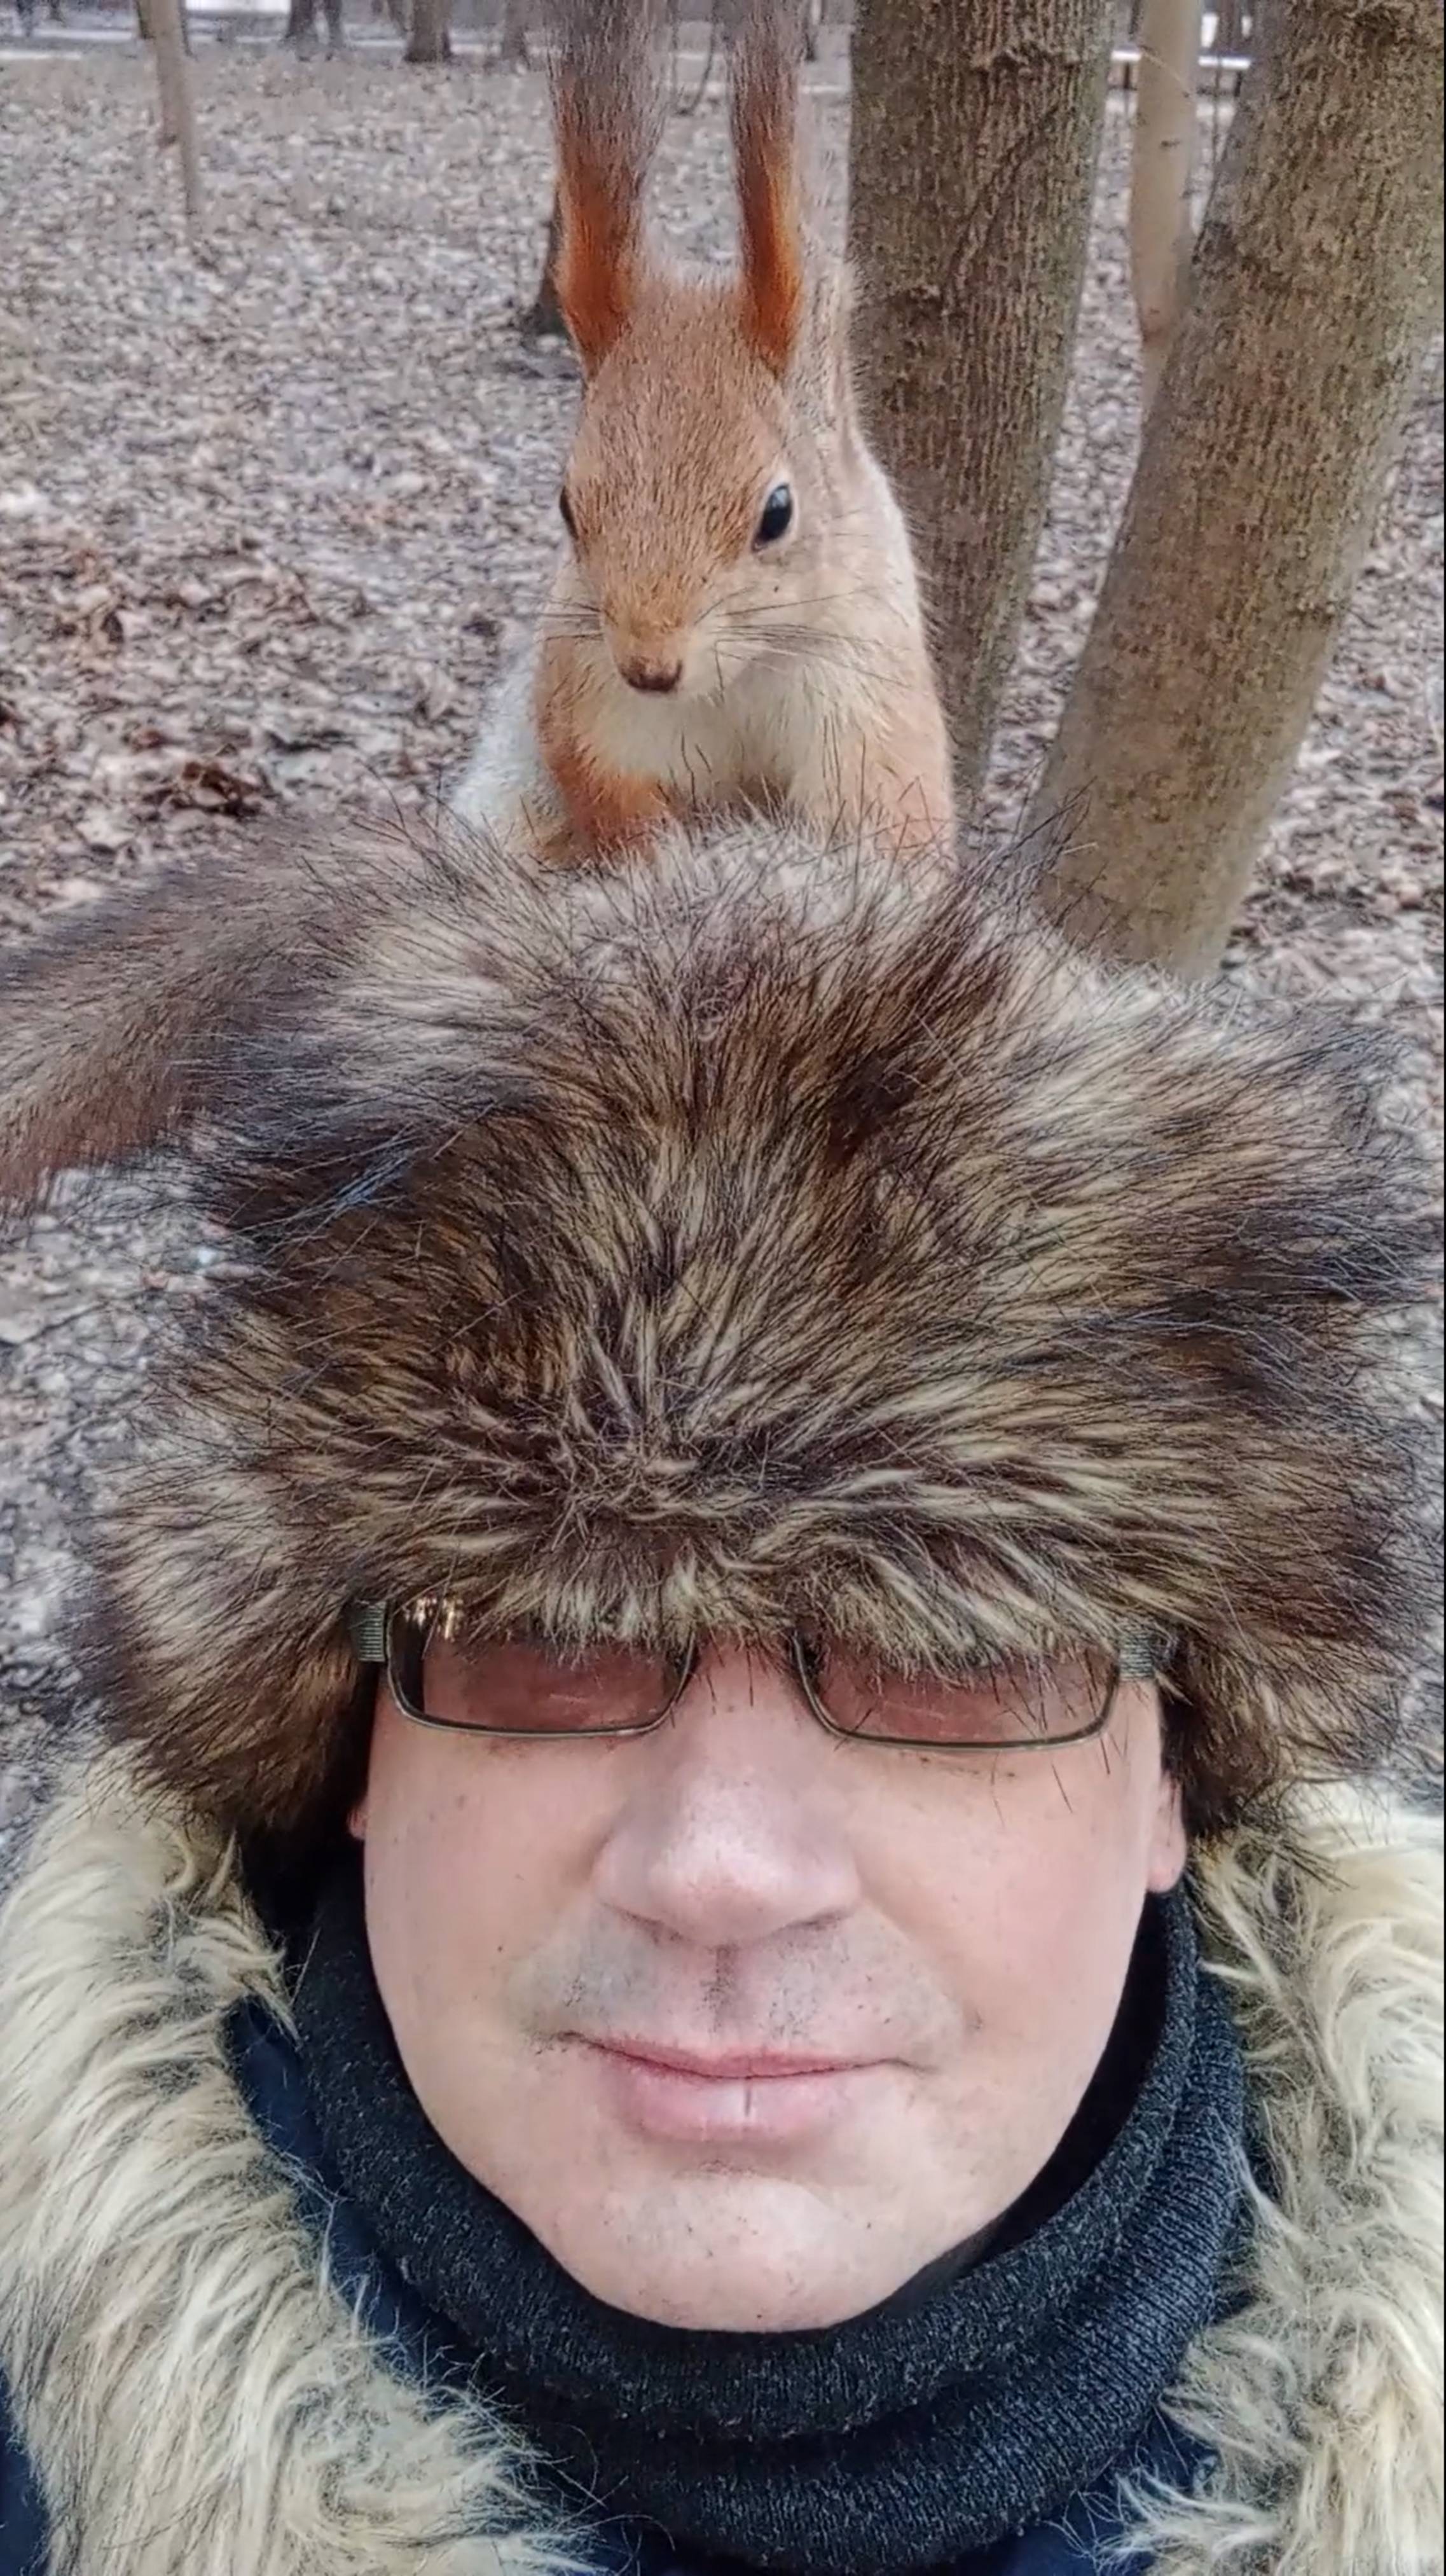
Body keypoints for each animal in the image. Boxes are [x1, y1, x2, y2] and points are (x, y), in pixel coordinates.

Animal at [453, 0, 953, 865]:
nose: (649, 668)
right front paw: (655, 847)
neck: (734, 676)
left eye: (778, 513)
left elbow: (882, 821)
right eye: (567, 507)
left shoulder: (867, 702)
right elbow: (601, 787)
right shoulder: (585, 694)